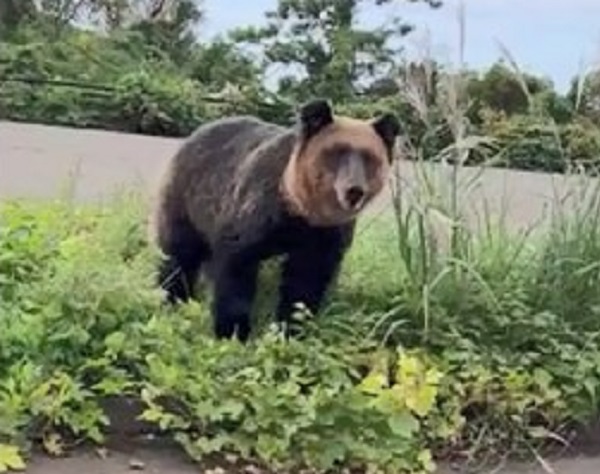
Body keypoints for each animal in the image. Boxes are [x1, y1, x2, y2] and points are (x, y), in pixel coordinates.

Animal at [149, 99, 400, 340]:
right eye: (337, 151)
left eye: (369, 156)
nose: (354, 190)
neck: (300, 211)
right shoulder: (256, 213)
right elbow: (236, 267)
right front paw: (233, 330)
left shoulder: (324, 236)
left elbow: (305, 282)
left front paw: (290, 329)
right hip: (187, 199)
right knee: (179, 253)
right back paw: (172, 298)